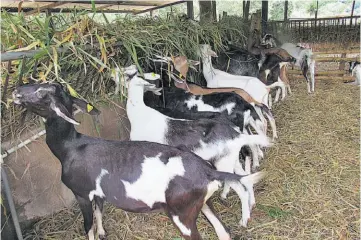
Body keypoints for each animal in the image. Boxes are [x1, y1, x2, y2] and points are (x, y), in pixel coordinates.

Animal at [12, 81, 264, 239]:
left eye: (42, 93)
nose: (16, 91)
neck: (71, 147)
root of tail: (209, 172)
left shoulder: (81, 193)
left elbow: (88, 226)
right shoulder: (98, 193)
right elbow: (99, 213)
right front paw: (103, 232)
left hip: (181, 214)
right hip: (201, 204)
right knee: (224, 232)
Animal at [122, 68, 272, 227]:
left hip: (224, 163)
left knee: (241, 185)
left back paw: (243, 220)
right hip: (231, 161)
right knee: (245, 177)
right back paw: (248, 204)